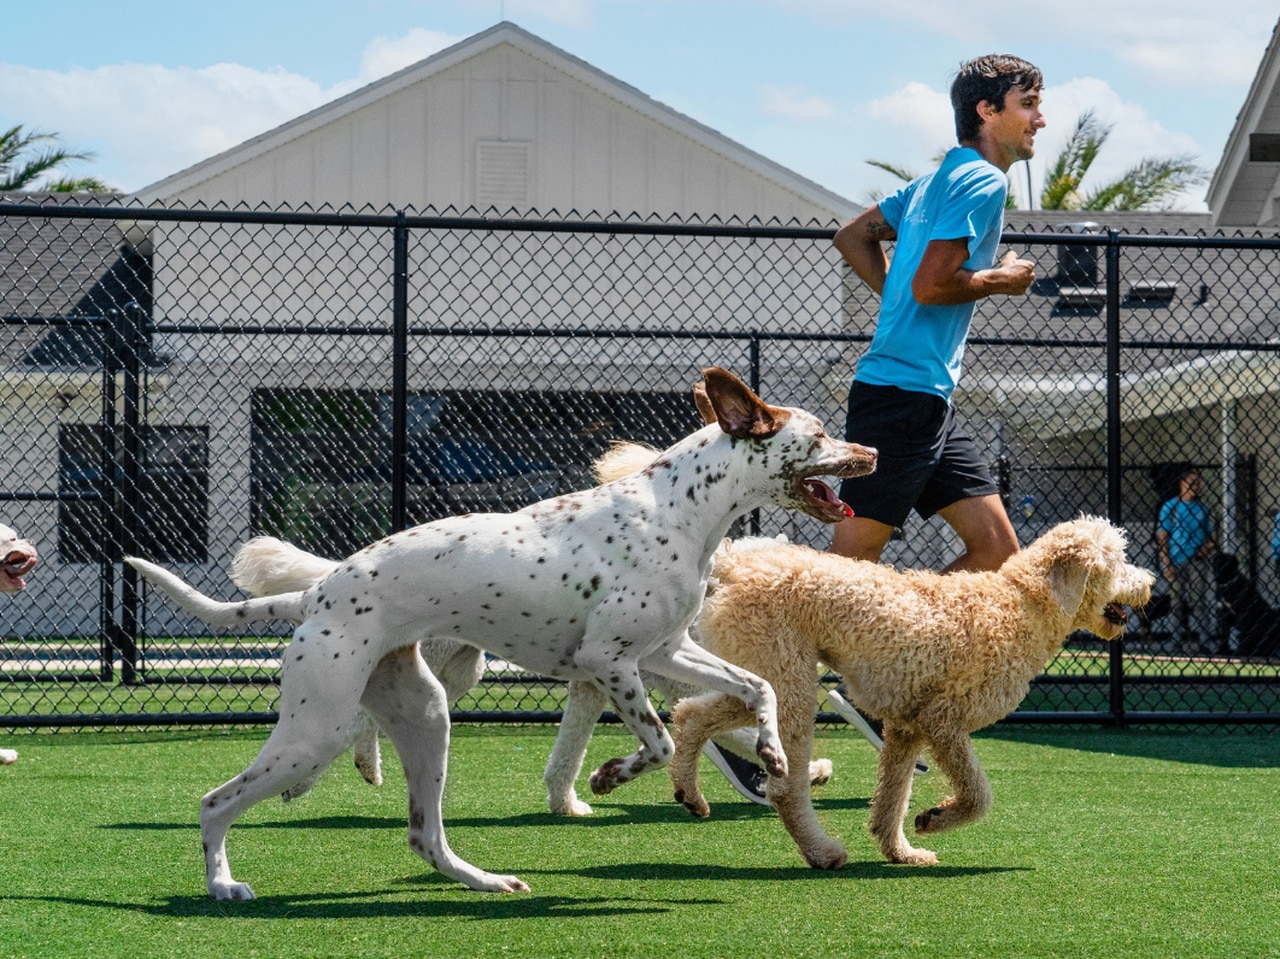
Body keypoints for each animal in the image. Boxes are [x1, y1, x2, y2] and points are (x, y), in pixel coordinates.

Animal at [124, 366, 875, 896]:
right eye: (818, 433)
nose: (868, 449)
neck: (680, 509)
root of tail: (321, 590)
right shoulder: (611, 660)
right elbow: (660, 741)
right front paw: (609, 774)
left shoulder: (668, 650)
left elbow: (756, 689)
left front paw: (774, 752)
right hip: (319, 727)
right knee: (215, 802)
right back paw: (223, 883)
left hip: (426, 716)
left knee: (424, 836)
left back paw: (483, 880)